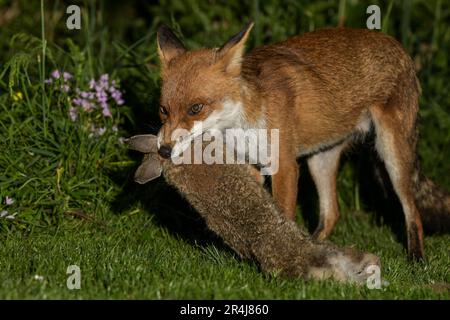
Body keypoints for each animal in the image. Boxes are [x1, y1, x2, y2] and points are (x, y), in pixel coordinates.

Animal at [154, 23, 450, 262]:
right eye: (163, 110)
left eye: (196, 108)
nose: (164, 151)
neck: (241, 126)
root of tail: (397, 44)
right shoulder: (253, 167)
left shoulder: (284, 165)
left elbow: (283, 214)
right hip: (320, 160)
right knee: (332, 213)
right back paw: (315, 248)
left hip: (392, 155)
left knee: (413, 212)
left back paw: (416, 259)